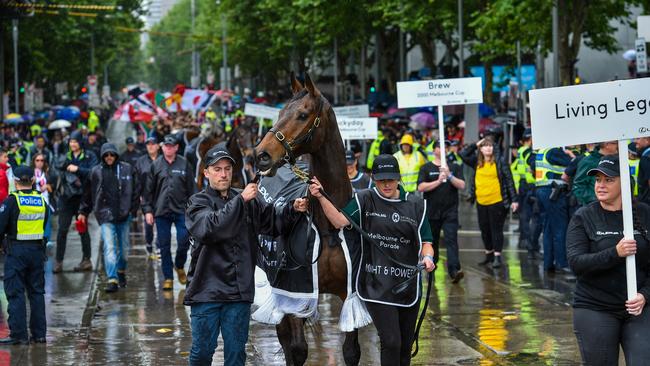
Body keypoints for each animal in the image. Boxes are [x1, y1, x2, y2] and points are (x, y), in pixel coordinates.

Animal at [252, 73, 356, 364]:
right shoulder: (295, 291)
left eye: (302, 114)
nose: (261, 155)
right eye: (279, 113)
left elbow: (351, 351)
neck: (327, 222)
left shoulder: (349, 292)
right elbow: (297, 348)